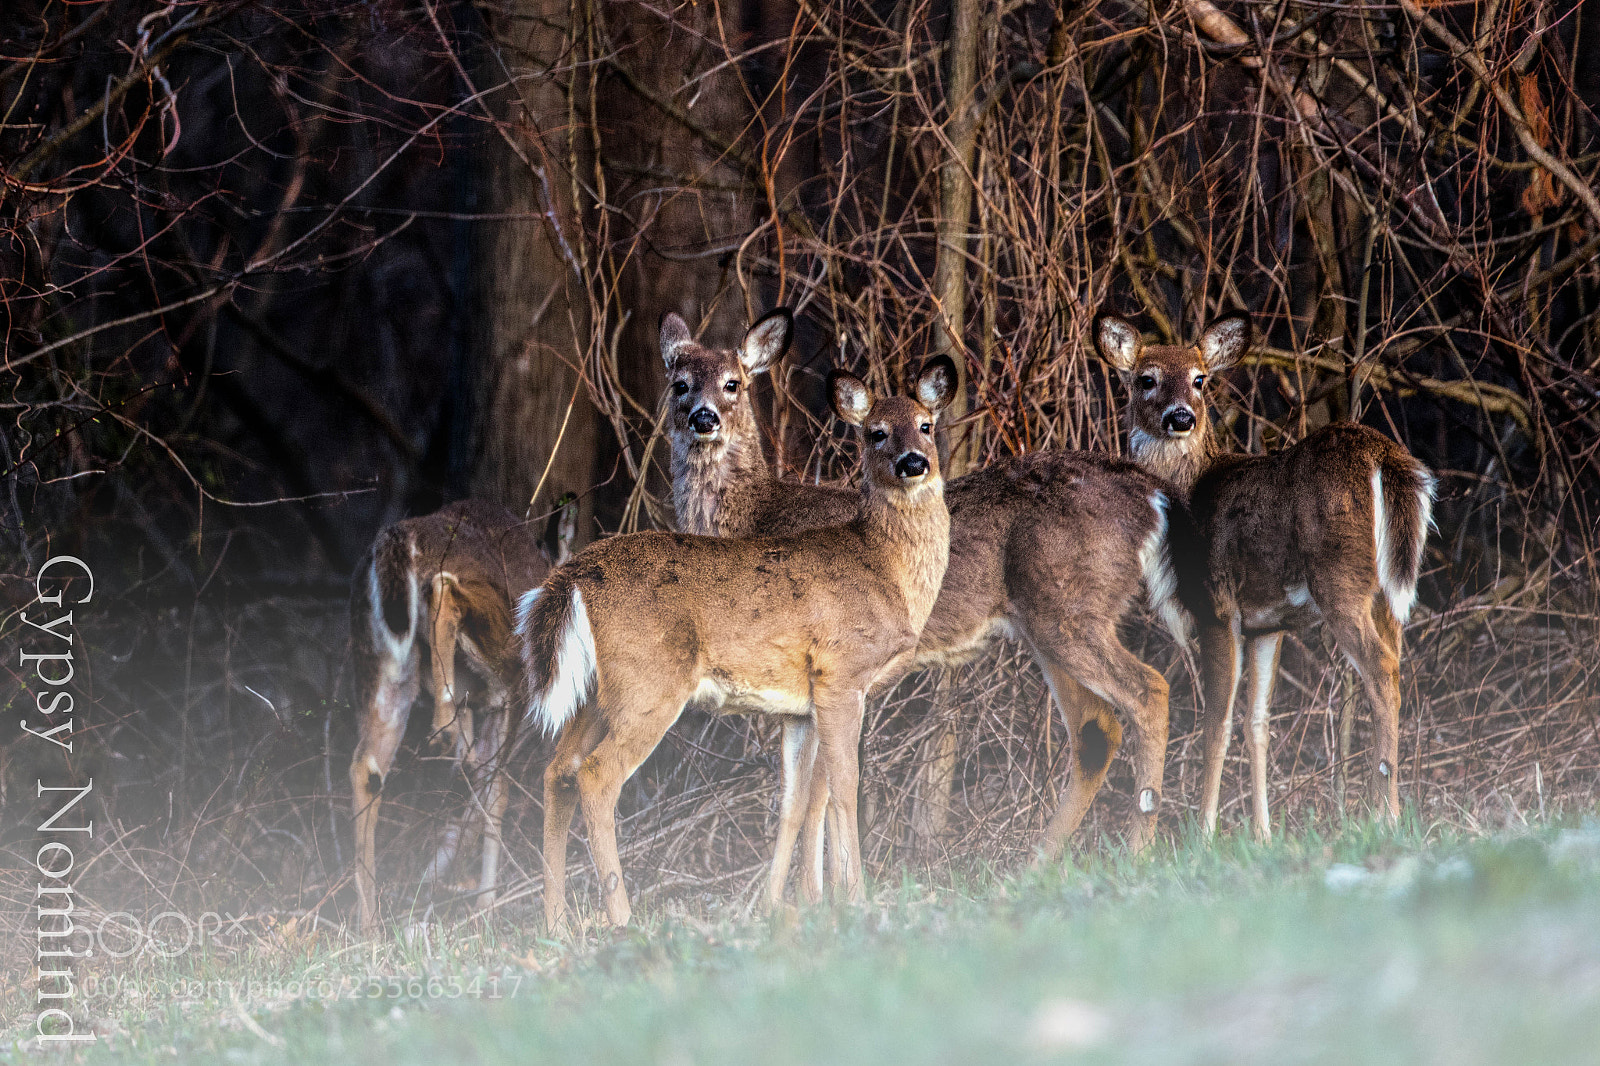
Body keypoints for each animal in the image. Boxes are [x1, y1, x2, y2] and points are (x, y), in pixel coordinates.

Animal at [349, 497, 573, 932]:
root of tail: (396, 544)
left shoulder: (477, 706)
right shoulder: (509, 700)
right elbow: (496, 790)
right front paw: (485, 904)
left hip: (383, 665)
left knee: (366, 768)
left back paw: (369, 924)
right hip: (505, 645)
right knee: (446, 591)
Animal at [518, 358, 955, 932]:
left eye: (926, 425)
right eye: (876, 432)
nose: (913, 463)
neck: (887, 570)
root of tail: (573, 577)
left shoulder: (800, 707)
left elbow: (795, 801)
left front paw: (778, 907)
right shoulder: (839, 675)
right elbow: (844, 788)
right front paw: (856, 900)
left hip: (596, 694)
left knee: (557, 771)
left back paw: (555, 923)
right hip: (649, 684)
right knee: (595, 776)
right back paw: (621, 917)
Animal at [648, 308, 1196, 910]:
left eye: (733, 383)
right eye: (679, 382)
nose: (702, 417)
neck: (756, 516)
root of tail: (1151, 493)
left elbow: (819, 792)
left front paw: (820, 900)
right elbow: (811, 791)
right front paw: (812, 899)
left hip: (1072, 607)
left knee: (1148, 692)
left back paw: (1139, 854)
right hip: (1049, 624)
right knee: (1096, 730)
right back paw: (1032, 871)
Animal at [1094, 310, 1435, 840]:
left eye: (1200, 379)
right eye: (1146, 379)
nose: (1181, 418)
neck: (1188, 498)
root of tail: (1383, 458)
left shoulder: (1217, 606)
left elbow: (1216, 723)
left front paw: (1204, 833)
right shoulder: (1265, 625)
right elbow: (1258, 724)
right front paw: (1263, 834)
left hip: (1340, 579)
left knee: (1381, 670)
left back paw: (1388, 815)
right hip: (1389, 590)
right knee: (1396, 661)